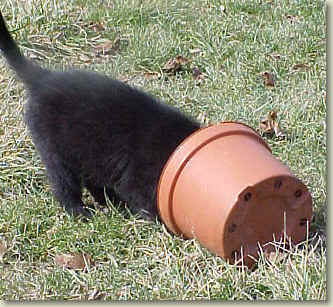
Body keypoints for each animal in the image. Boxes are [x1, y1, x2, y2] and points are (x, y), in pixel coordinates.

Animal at [0, 10, 200, 220]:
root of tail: (43, 79)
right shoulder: (138, 177)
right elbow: (144, 198)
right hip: (56, 150)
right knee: (64, 184)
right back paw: (79, 211)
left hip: (87, 150)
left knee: (92, 179)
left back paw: (111, 203)